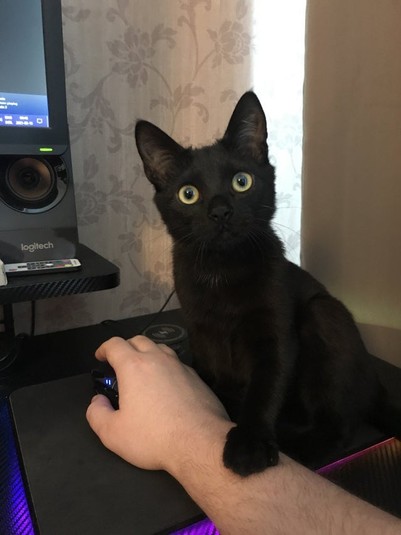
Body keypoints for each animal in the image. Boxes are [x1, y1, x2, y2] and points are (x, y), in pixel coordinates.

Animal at [135, 91, 401, 477]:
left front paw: (249, 444)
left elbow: (265, 387)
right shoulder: (199, 330)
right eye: (188, 194)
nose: (220, 212)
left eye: (241, 181)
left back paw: (299, 448)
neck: (222, 270)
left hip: (325, 314)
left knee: (341, 424)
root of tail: (376, 383)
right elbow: (208, 374)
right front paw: (217, 399)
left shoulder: (275, 334)